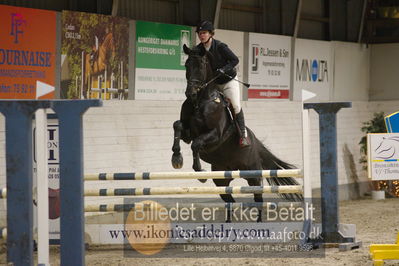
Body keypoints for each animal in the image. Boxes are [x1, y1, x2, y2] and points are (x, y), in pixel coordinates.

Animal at [172, 44, 304, 214]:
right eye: (187, 65)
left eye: (200, 65)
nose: (190, 93)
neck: (200, 101)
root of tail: (256, 144)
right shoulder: (188, 133)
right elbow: (177, 126)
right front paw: (176, 158)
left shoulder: (215, 135)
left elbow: (196, 144)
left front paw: (200, 172)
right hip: (221, 180)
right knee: (229, 200)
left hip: (253, 176)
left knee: (258, 199)